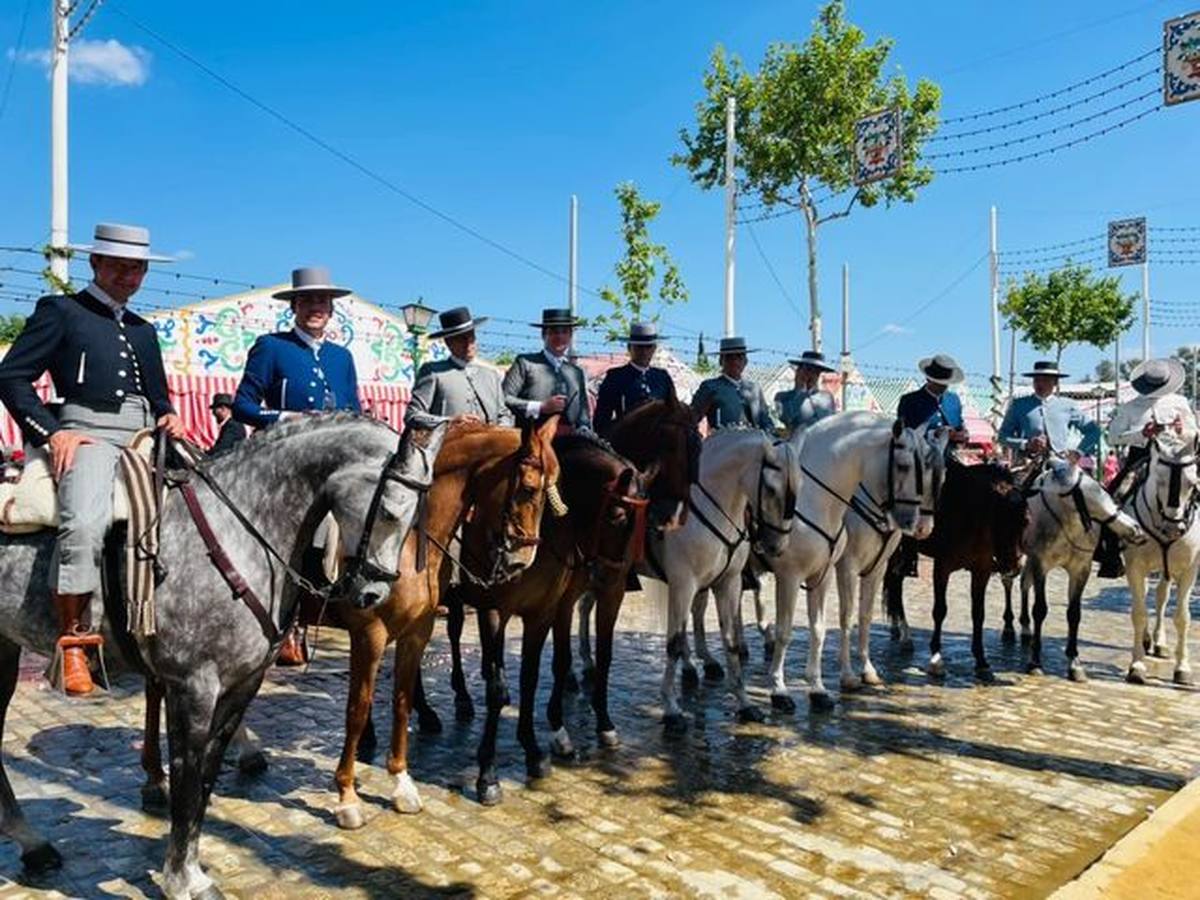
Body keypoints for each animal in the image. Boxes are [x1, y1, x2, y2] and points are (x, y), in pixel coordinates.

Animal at [0, 417, 446, 900]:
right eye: (390, 513)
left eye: (418, 517)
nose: (372, 594)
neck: (237, 535)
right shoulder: (193, 687)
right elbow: (188, 778)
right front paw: (178, 879)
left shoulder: (242, 685)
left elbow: (208, 776)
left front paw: (193, 873)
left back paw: (34, 844)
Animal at [638, 427, 796, 734]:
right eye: (771, 489)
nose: (777, 546)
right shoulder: (683, 584)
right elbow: (673, 643)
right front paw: (671, 709)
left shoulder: (728, 584)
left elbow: (730, 640)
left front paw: (745, 703)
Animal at [883, 458, 1032, 681]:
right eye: (1000, 518)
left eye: (1026, 521)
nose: (1013, 567)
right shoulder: (942, 567)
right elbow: (940, 610)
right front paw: (936, 659)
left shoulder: (982, 570)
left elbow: (978, 613)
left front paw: (981, 661)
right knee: (894, 579)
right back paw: (904, 634)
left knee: (895, 580)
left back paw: (899, 629)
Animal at [998, 458, 1147, 681]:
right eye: (1085, 497)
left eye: (1103, 489)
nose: (1136, 529)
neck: (1065, 521)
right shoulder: (1041, 563)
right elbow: (1040, 609)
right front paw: (1035, 662)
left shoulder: (1080, 569)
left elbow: (1074, 614)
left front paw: (1074, 663)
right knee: (1009, 582)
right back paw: (1009, 626)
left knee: (1024, 584)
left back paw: (1025, 628)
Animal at [1123, 434, 1200, 681]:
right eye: (1159, 480)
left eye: (1192, 484)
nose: (1173, 528)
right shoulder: (1135, 566)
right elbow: (1139, 613)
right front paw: (1137, 665)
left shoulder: (1189, 570)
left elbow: (1182, 617)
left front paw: (1183, 668)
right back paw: (1147, 640)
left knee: (1161, 596)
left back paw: (1159, 642)